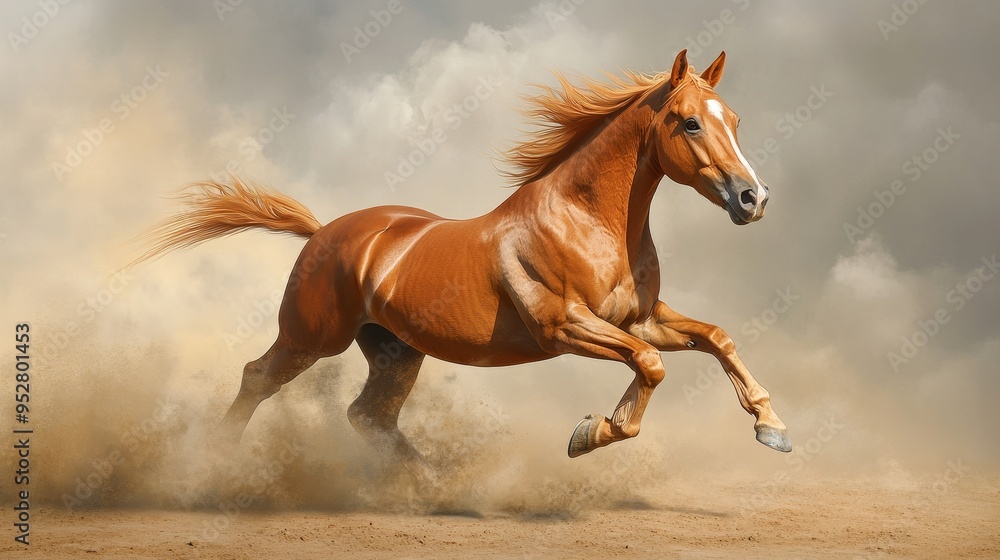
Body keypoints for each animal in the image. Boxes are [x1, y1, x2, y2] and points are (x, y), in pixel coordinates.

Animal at [130, 50, 791, 474]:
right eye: (689, 122)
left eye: (734, 120)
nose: (753, 198)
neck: (585, 220)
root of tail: (323, 234)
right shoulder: (565, 327)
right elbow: (651, 367)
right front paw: (590, 434)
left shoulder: (638, 320)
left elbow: (716, 337)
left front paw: (772, 428)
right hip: (310, 338)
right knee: (256, 379)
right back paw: (214, 468)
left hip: (396, 352)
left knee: (369, 416)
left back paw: (434, 485)